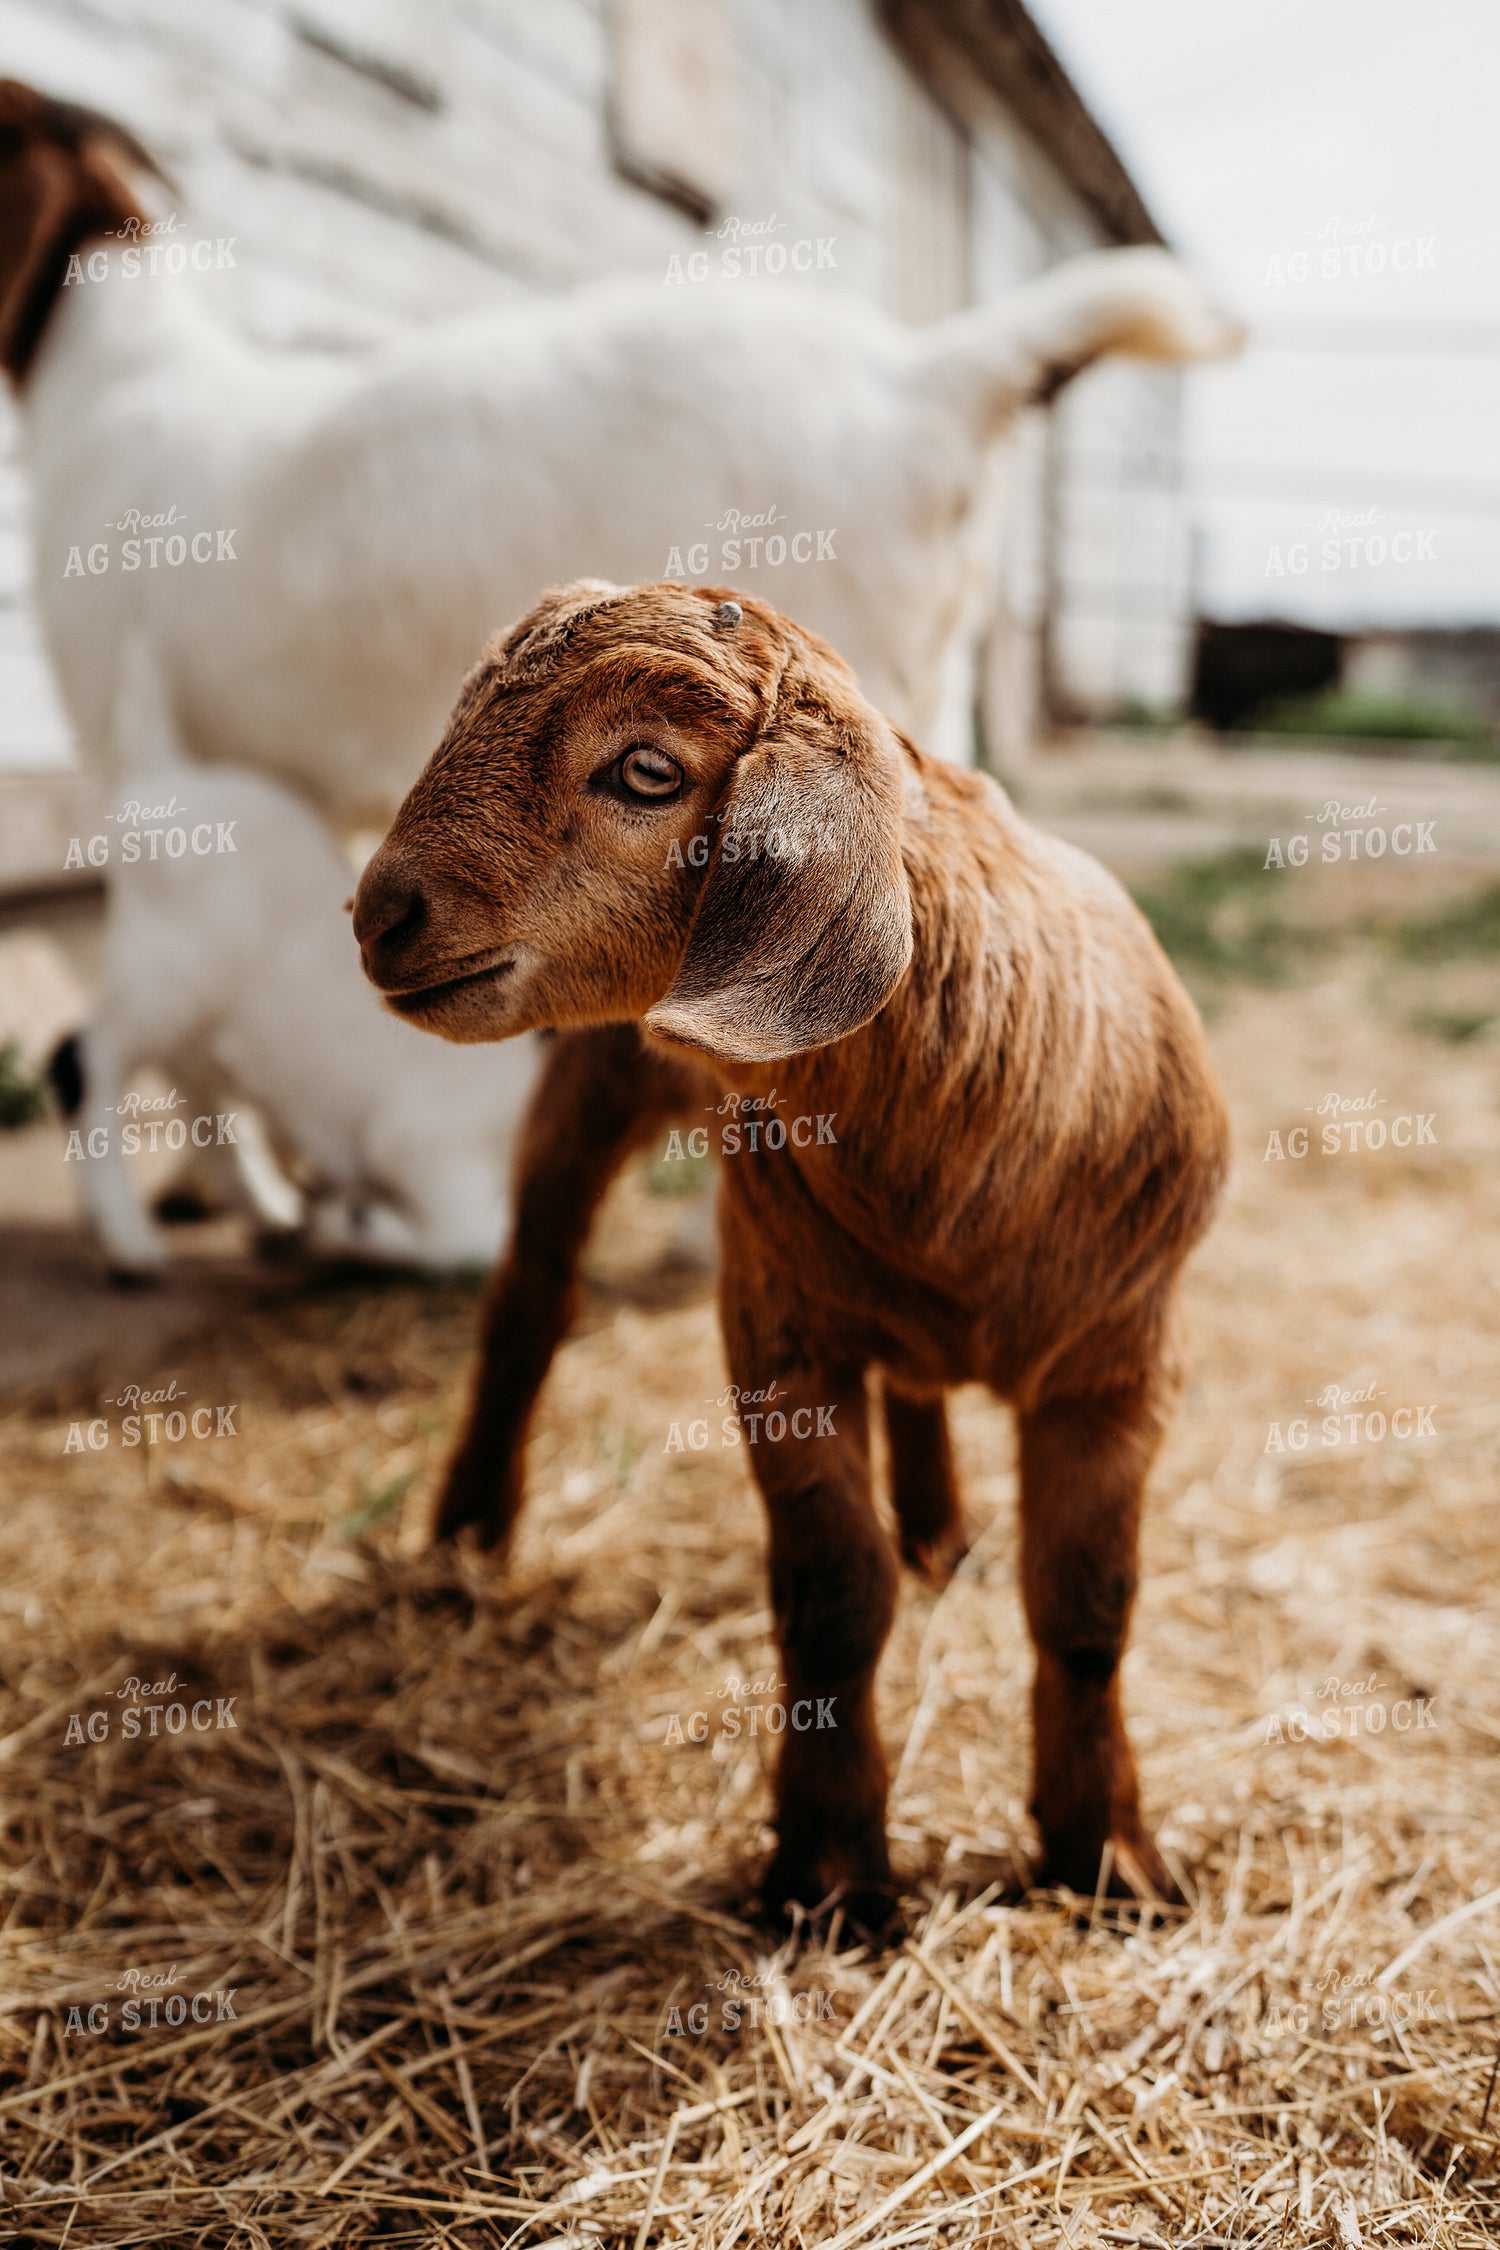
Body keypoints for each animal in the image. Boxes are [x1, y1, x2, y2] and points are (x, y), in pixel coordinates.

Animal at [352, 581, 1232, 1930]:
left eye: (647, 770)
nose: (379, 914)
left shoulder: (1122, 1360)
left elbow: (1088, 1606)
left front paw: (1107, 1860)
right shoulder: (780, 1333)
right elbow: (832, 1595)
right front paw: (832, 1876)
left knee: (913, 1384)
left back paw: (940, 1529)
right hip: (593, 1079)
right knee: (531, 1301)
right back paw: (467, 1532)